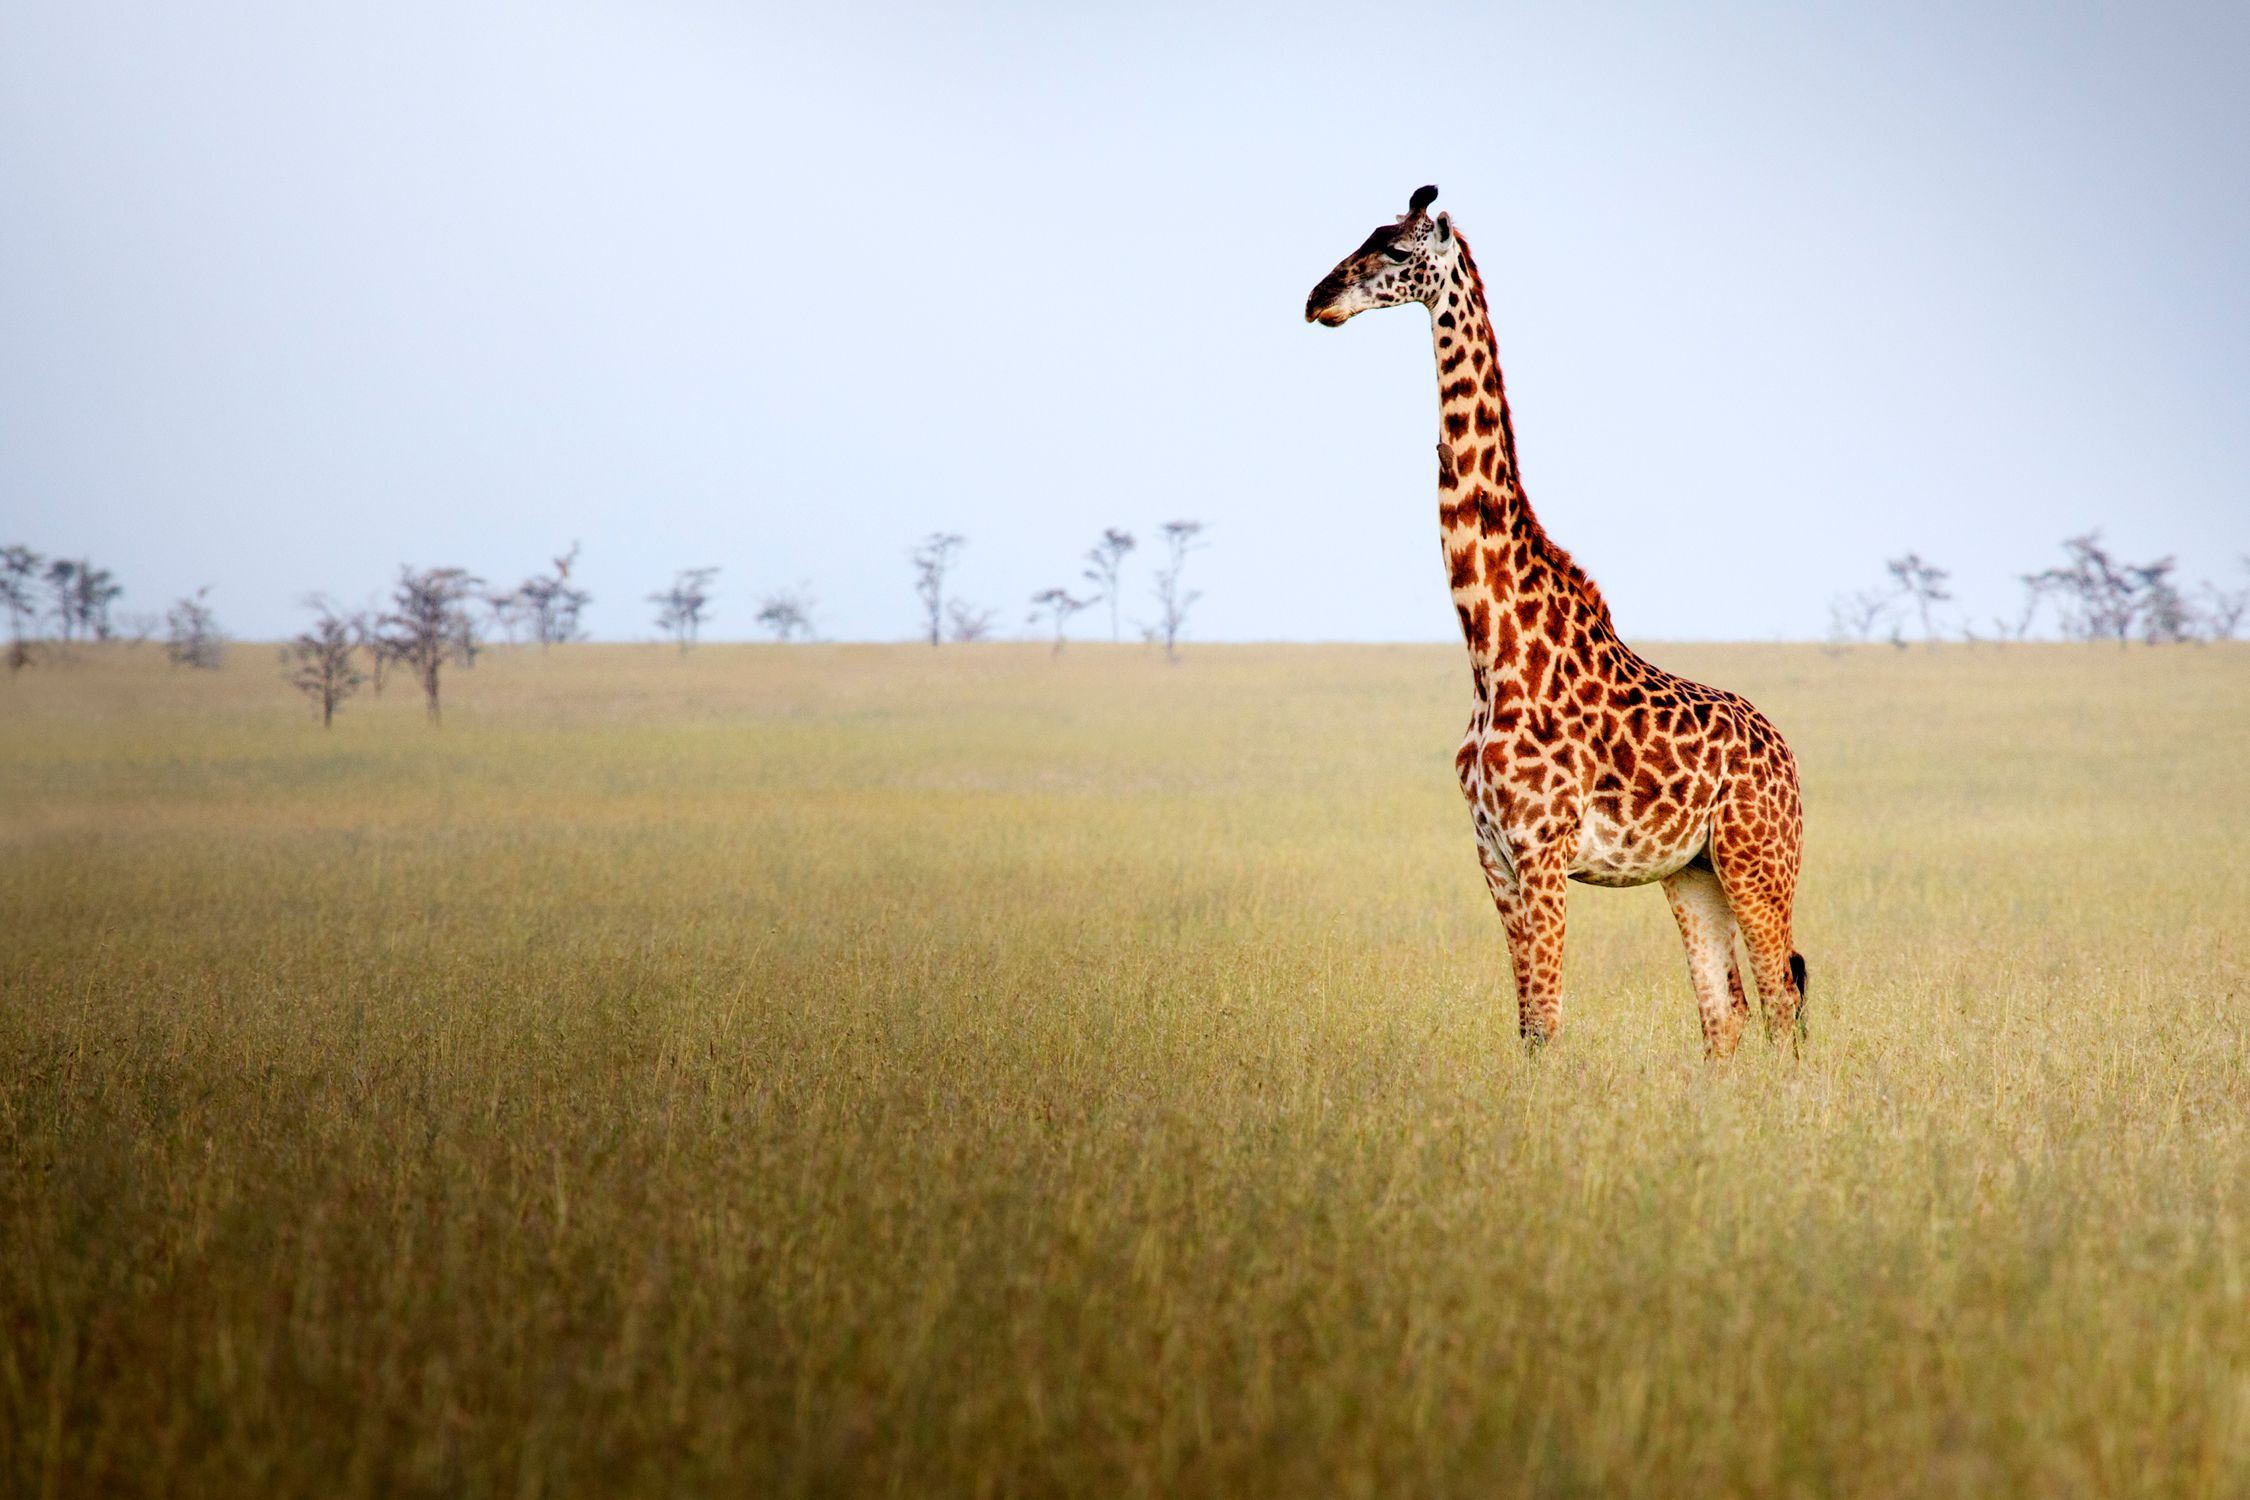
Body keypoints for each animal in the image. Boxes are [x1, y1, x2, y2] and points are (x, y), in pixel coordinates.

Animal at [1305, 187, 1809, 1056]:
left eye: (1398, 251)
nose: (1318, 299)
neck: (1492, 648)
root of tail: (1789, 760)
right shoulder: (1493, 854)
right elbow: (1527, 1026)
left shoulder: (1542, 850)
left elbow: (1546, 1019)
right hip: (1693, 870)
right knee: (1726, 1014)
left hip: (1758, 859)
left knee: (1781, 1006)